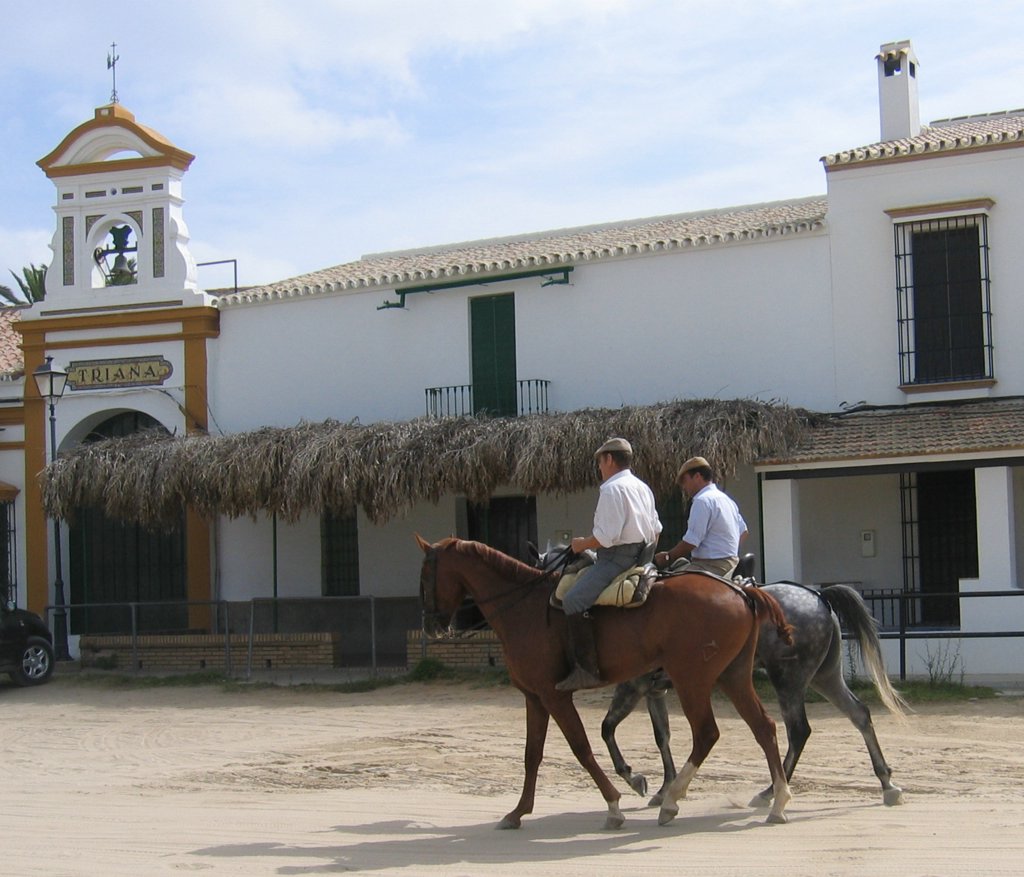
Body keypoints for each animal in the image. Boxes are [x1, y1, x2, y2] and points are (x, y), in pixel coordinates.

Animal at [416, 534, 795, 831]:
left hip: (693, 680)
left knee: (707, 733)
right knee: (764, 727)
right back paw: (777, 800)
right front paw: (518, 812)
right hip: (733, 677)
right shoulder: (534, 697)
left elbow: (581, 747)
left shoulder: (556, 697)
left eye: (425, 575)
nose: (433, 627)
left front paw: (614, 805)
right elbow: (532, 754)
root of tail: (741, 593)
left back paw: (673, 800)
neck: (525, 608)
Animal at [599, 580, 908, 808]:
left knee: (798, 731)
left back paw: (771, 791)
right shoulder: (653, 691)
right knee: (859, 714)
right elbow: (661, 736)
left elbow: (608, 728)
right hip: (825, 677)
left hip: (788, 680)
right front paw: (665, 788)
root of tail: (818, 595)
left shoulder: (632, 687)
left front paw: (635, 778)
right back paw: (887, 783)